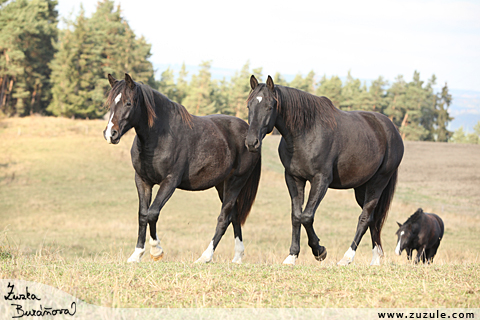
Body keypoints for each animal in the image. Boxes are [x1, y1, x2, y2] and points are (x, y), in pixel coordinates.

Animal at [104, 74, 262, 264]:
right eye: (111, 103)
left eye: (128, 103)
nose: (110, 134)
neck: (160, 136)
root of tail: (249, 134)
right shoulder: (142, 181)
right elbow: (142, 214)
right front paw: (137, 254)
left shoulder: (170, 182)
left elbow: (152, 213)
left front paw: (156, 251)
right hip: (222, 185)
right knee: (235, 215)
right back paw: (237, 257)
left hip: (236, 182)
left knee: (224, 218)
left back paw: (205, 257)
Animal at [246, 75, 404, 264]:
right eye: (249, 105)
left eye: (269, 107)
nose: (251, 142)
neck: (306, 133)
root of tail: (392, 130)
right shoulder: (293, 178)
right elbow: (296, 216)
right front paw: (292, 256)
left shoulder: (321, 180)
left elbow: (307, 216)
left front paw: (319, 250)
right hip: (361, 188)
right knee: (373, 219)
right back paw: (375, 260)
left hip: (378, 182)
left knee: (364, 218)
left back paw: (347, 258)